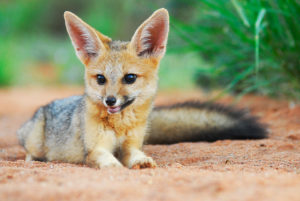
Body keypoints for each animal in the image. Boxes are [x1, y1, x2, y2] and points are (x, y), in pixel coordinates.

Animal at [17, 8, 268, 170]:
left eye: (129, 78)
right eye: (100, 79)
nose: (110, 101)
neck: (120, 127)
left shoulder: (131, 145)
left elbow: (136, 153)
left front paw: (141, 161)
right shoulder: (95, 148)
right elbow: (106, 159)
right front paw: (114, 165)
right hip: (34, 141)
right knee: (30, 150)